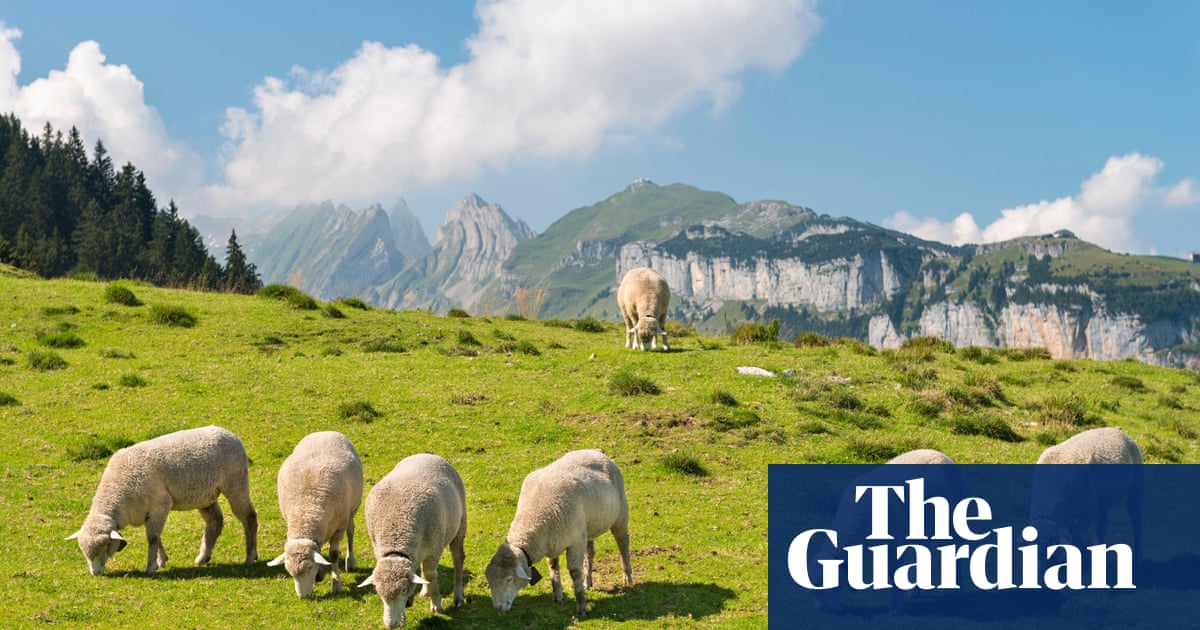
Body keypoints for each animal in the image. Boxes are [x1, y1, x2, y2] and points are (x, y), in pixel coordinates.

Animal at [67, 424, 258, 578]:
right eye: (84, 552)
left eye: (105, 547)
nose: (95, 573)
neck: (117, 492)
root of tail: (230, 435)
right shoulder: (147, 511)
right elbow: (156, 537)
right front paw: (161, 560)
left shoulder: (160, 505)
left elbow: (152, 538)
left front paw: (151, 567)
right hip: (206, 494)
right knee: (215, 522)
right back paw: (203, 557)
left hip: (235, 482)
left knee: (249, 517)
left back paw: (250, 556)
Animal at [270, 429, 362, 597]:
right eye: (289, 571)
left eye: (309, 567)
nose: (303, 597)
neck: (307, 510)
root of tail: (326, 431)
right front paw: (321, 574)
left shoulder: (339, 527)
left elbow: (333, 555)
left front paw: (336, 584)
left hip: (352, 508)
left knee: (351, 531)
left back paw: (350, 561)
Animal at [355, 451, 463, 624]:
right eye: (377, 591)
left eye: (404, 589)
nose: (391, 625)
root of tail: (425, 454)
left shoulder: (434, 549)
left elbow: (431, 574)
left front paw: (436, 605)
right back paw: (425, 591)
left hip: (460, 523)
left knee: (458, 558)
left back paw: (458, 597)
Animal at [487, 446, 638, 614]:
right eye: (490, 581)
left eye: (509, 579)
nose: (498, 608)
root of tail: (594, 450)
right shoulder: (553, 542)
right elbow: (553, 568)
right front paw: (558, 595)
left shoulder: (575, 541)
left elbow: (574, 572)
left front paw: (582, 606)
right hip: (587, 527)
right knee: (590, 552)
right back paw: (588, 581)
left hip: (620, 515)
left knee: (623, 544)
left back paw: (627, 577)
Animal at [1032, 424, 1142, 552]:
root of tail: (1115, 429)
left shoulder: (1088, 510)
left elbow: (1077, 537)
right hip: (1101, 500)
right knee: (1103, 523)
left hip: (1136, 486)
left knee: (1136, 520)